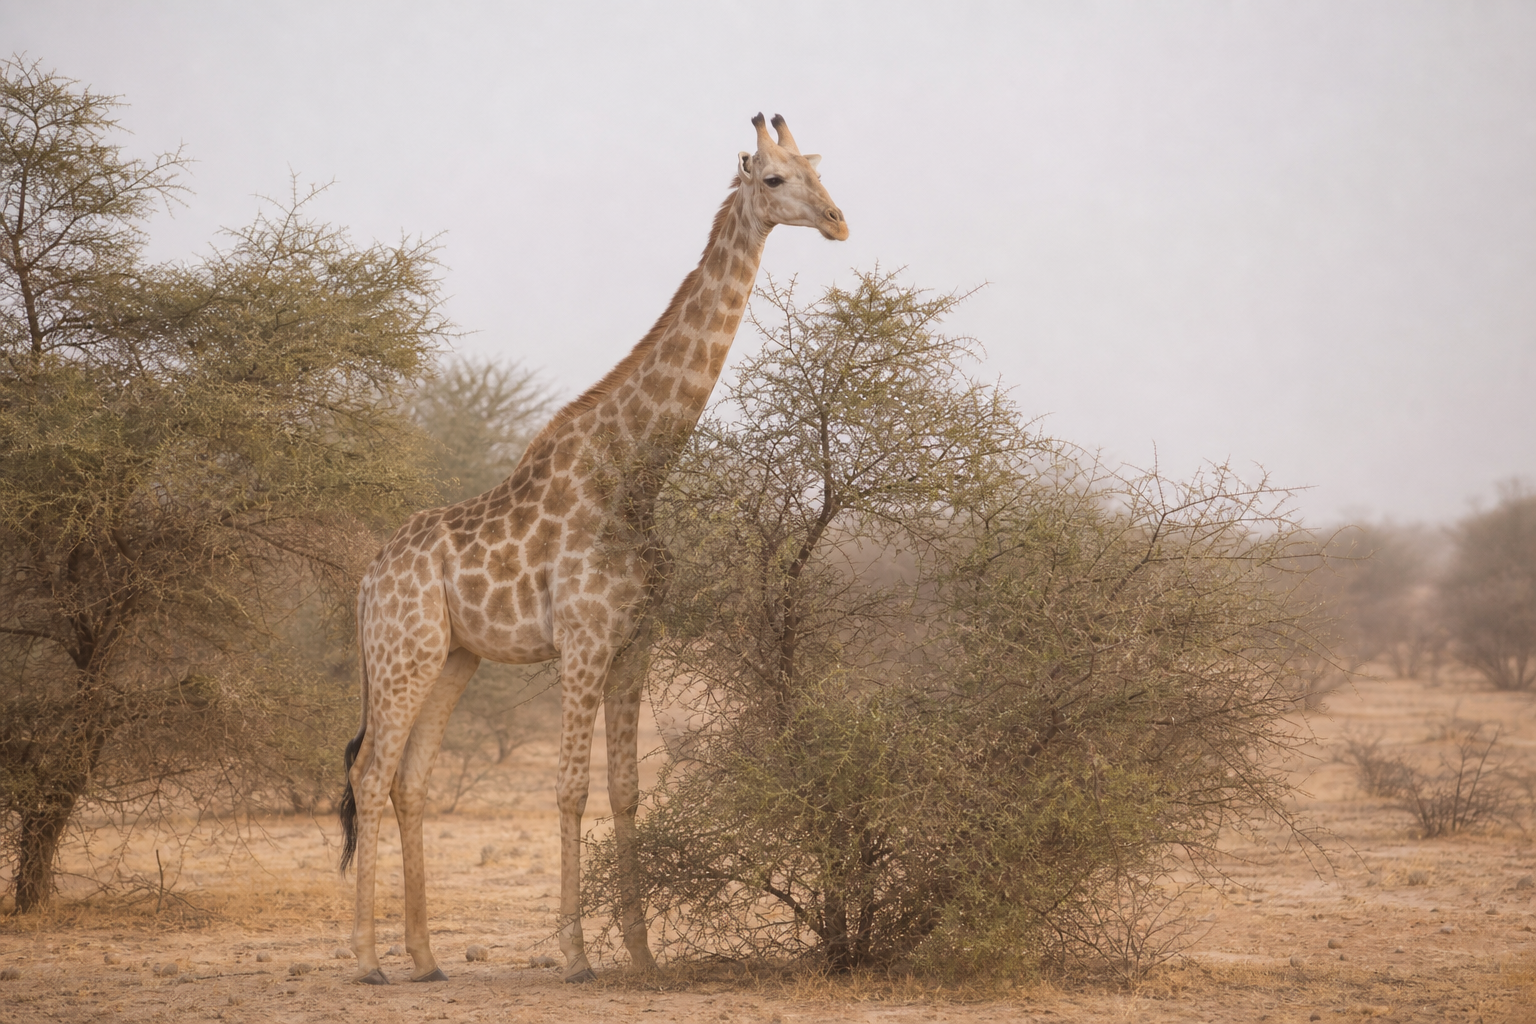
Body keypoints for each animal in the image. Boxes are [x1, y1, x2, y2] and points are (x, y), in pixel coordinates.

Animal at [337, 113, 847, 985]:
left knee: (410, 780)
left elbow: (627, 790)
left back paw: (427, 957)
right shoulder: (580, 640)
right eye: (776, 179)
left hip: (452, 655)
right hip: (403, 651)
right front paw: (576, 955)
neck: (635, 471)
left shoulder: (636, 640)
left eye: (820, 169)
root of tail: (369, 579)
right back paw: (369, 961)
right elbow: (571, 788)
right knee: (371, 776)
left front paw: (643, 954)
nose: (840, 222)